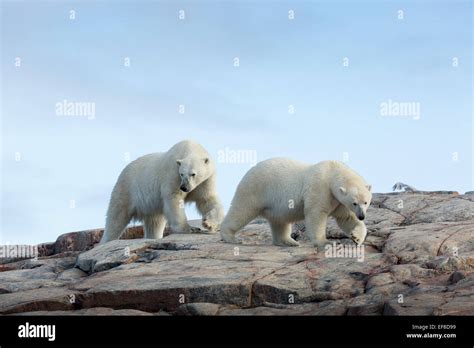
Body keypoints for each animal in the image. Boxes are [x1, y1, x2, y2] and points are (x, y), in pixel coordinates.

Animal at [220, 159, 372, 249]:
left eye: (365, 202)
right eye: (354, 203)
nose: (362, 216)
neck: (331, 172)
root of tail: (249, 172)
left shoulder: (338, 201)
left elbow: (346, 218)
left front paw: (357, 238)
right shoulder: (320, 187)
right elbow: (316, 213)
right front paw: (326, 242)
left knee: (279, 221)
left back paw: (289, 241)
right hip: (254, 189)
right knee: (241, 210)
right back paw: (230, 237)